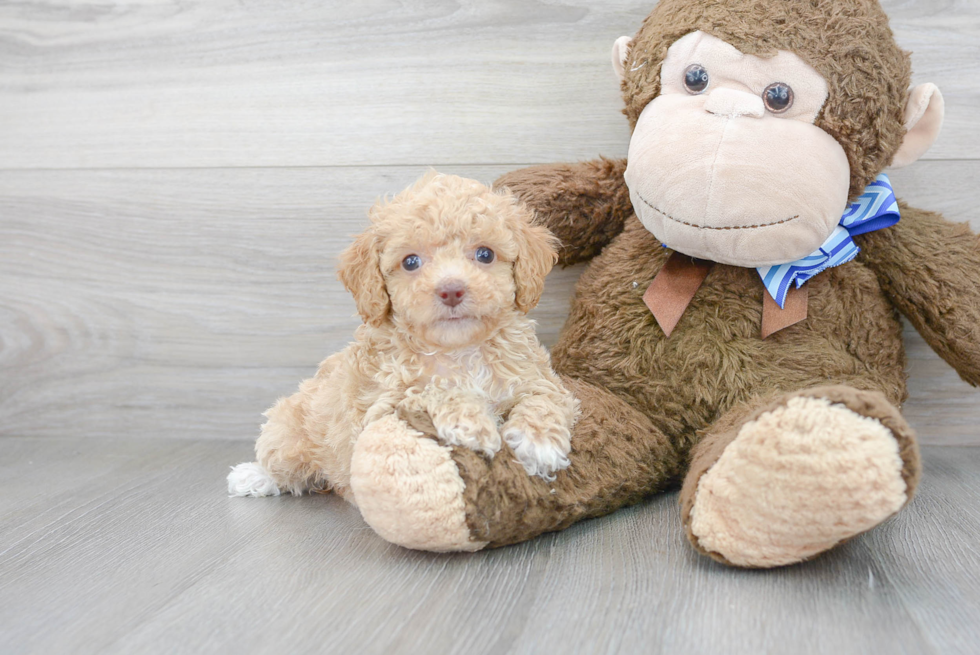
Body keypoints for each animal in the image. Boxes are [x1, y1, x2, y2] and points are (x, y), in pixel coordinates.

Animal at [228, 170, 580, 502]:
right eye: (410, 262)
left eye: (485, 255)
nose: (451, 290)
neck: (458, 350)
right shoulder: (378, 411)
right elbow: (430, 391)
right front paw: (472, 423)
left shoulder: (540, 379)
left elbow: (544, 399)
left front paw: (539, 442)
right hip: (291, 431)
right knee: (280, 461)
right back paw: (252, 476)